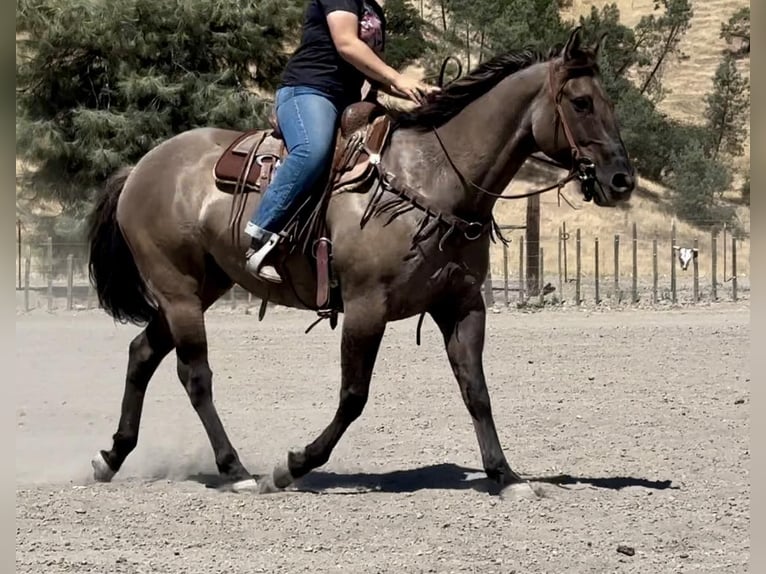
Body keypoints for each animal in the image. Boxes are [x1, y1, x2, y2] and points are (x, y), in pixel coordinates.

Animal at [86, 27, 635, 494]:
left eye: (611, 101)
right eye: (581, 102)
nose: (622, 180)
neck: (432, 179)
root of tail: (140, 167)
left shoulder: (461, 305)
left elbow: (476, 390)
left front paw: (505, 476)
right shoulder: (367, 306)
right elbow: (353, 396)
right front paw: (292, 466)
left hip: (203, 286)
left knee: (142, 353)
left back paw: (111, 458)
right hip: (178, 289)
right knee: (194, 374)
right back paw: (237, 470)